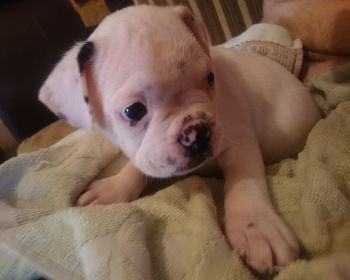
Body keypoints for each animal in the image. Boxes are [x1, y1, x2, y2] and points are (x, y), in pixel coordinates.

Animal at [38, 5, 320, 274]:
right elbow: (136, 167)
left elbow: (244, 182)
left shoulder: (239, 142)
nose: (198, 130)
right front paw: (115, 187)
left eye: (210, 78)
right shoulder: (145, 152)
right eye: (134, 111)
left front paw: (257, 227)